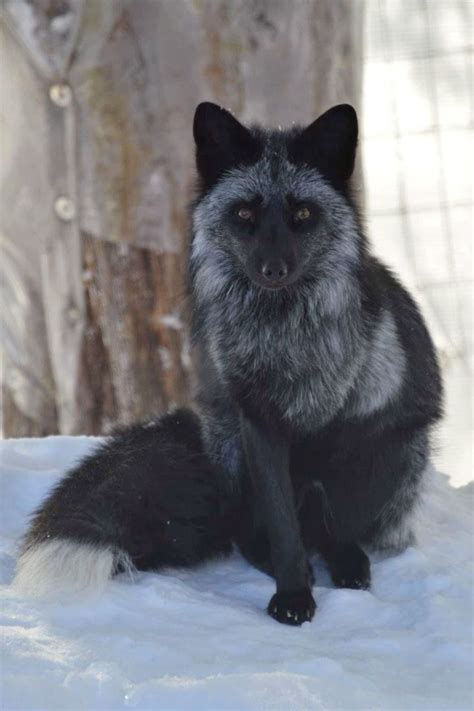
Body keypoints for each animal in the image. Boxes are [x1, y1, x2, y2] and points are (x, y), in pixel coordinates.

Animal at [13, 102, 443, 626]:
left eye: (302, 213)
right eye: (244, 213)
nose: (274, 269)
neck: (283, 341)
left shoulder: (349, 428)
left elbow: (335, 516)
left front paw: (335, 568)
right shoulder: (257, 423)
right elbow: (282, 525)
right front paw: (294, 593)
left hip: (400, 450)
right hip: (229, 444)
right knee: (243, 527)